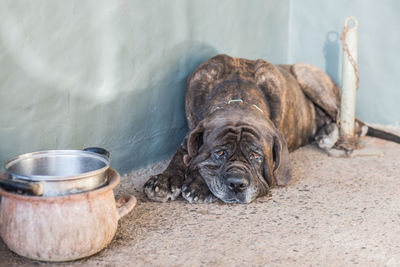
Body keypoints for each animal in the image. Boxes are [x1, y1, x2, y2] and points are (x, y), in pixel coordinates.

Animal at [144, 54, 400, 205]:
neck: (237, 94)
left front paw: (197, 184)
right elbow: (183, 154)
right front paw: (165, 180)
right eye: (220, 153)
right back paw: (323, 132)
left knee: (356, 124)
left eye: (257, 156)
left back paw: (329, 136)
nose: (237, 184)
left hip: (306, 72)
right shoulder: (191, 130)